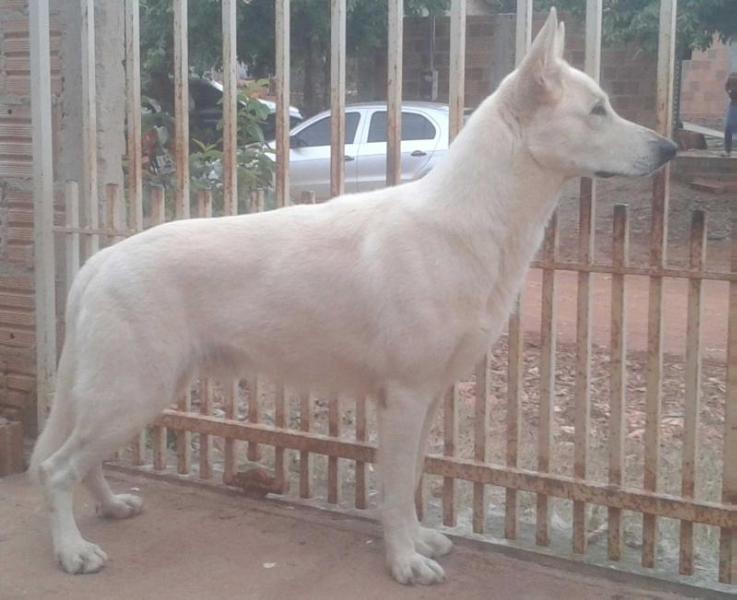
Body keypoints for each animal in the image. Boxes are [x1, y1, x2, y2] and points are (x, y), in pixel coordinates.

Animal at [27, 7, 672, 584]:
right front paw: (405, 562)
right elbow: (394, 489)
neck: (470, 220)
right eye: (598, 110)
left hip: (130, 397)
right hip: (131, 395)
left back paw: (110, 508)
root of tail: (99, 260)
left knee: (82, 463)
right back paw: (72, 551)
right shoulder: (404, 398)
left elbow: (410, 483)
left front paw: (419, 540)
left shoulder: (426, 400)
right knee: (57, 470)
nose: (669, 149)